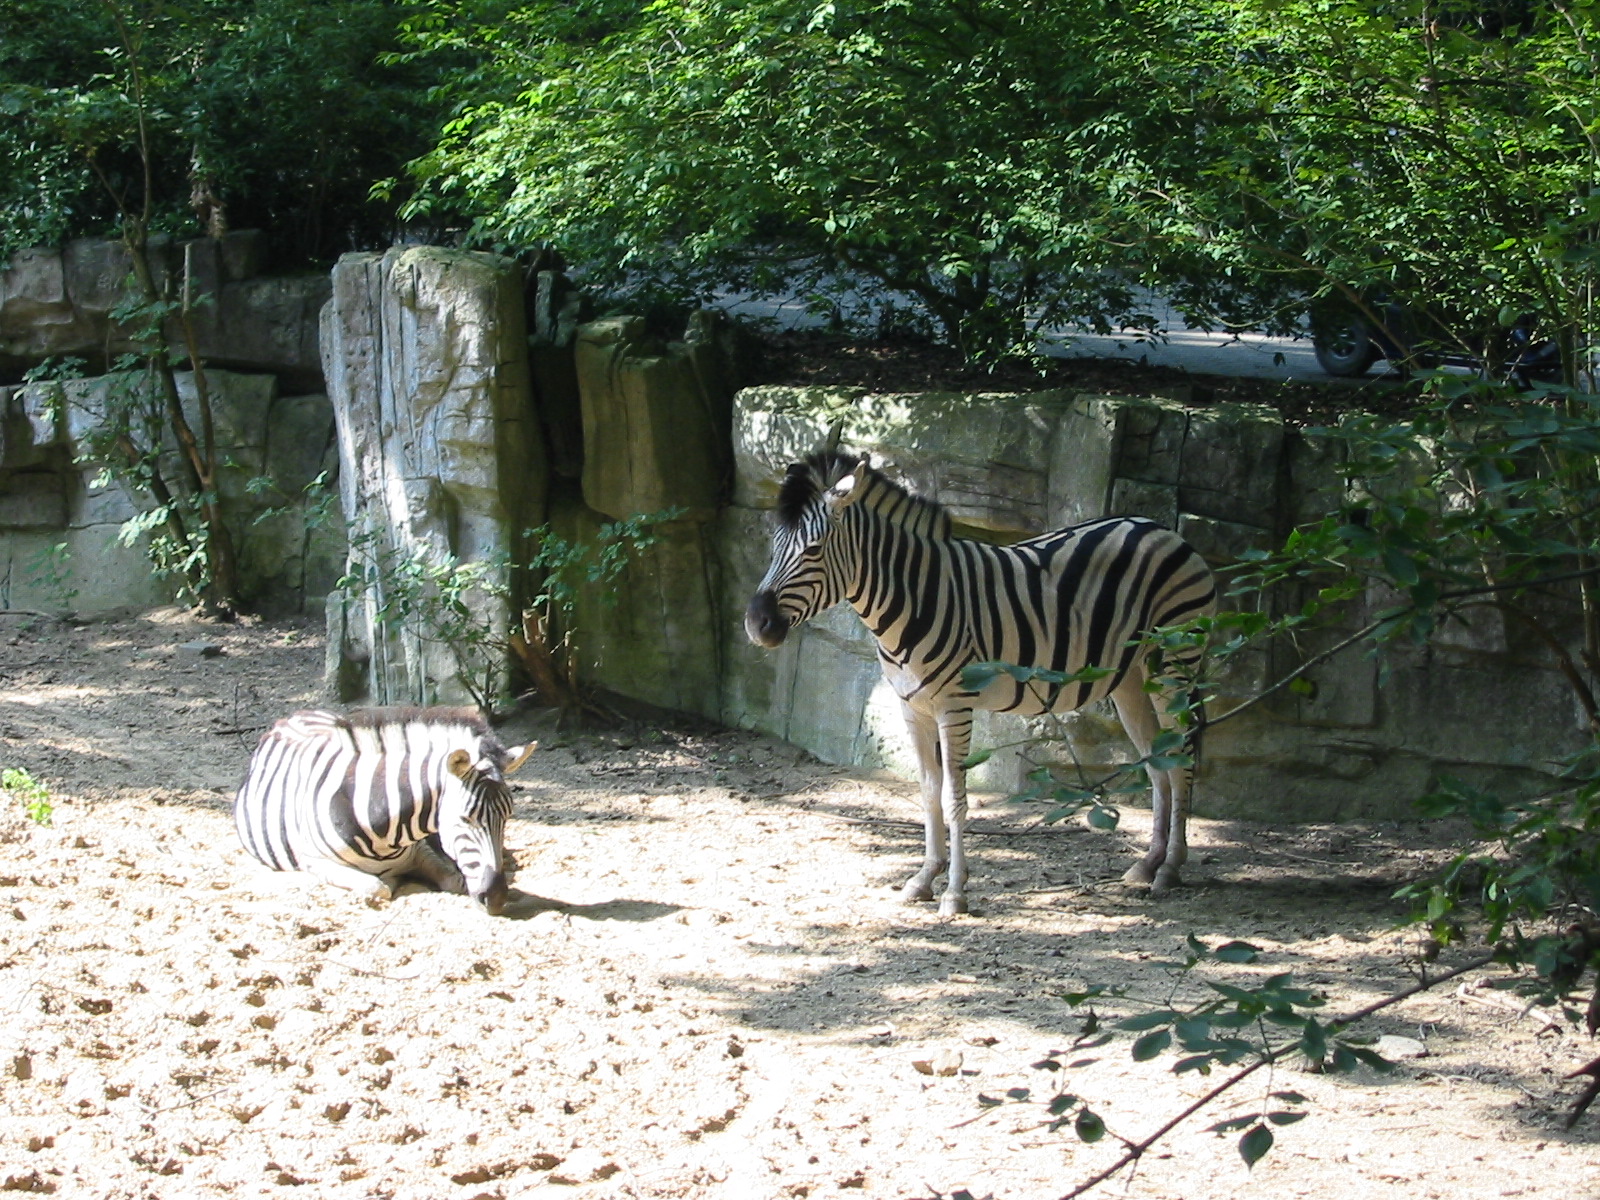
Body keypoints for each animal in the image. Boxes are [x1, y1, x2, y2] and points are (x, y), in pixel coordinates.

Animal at [234, 707, 536, 915]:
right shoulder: (314, 861)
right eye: (465, 818)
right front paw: (389, 883)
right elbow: (377, 888)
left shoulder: (420, 851)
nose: (497, 899)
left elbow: (456, 880)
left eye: (507, 817)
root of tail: (297, 716)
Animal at [745, 446, 1218, 915]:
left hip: (1175, 663)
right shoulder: (911, 707)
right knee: (1158, 762)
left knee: (1182, 758)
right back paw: (1148, 864)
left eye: (814, 549)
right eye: (774, 544)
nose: (755, 623)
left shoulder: (954, 705)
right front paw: (923, 878)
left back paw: (1171, 868)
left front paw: (955, 892)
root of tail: (1160, 528)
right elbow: (928, 792)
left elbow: (955, 799)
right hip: (1131, 677)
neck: (912, 598)